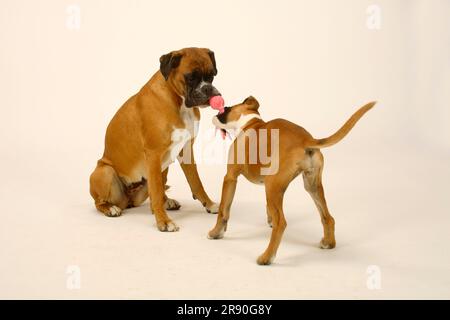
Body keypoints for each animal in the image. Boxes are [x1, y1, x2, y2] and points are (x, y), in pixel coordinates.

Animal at [89, 47, 220, 231]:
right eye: (191, 77)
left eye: (212, 76)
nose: (208, 88)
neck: (179, 101)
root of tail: (129, 200)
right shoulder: (153, 154)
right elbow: (157, 191)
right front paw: (163, 221)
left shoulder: (186, 150)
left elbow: (196, 182)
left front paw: (209, 204)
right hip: (105, 172)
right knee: (99, 202)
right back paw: (110, 208)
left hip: (163, 167)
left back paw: (167, 202)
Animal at [208, 95, 376, 264]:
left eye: (226, 108)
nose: (215, 113)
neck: (250, 123)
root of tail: (305, 139)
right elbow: (268, 208)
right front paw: (269, 220)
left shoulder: (230, 178)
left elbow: (223, 210)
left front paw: (216, 233)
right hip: (311, 186)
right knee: (328, 217)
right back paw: (328, 243)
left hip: (272, 185)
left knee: (281, 223)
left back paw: (267, 257)